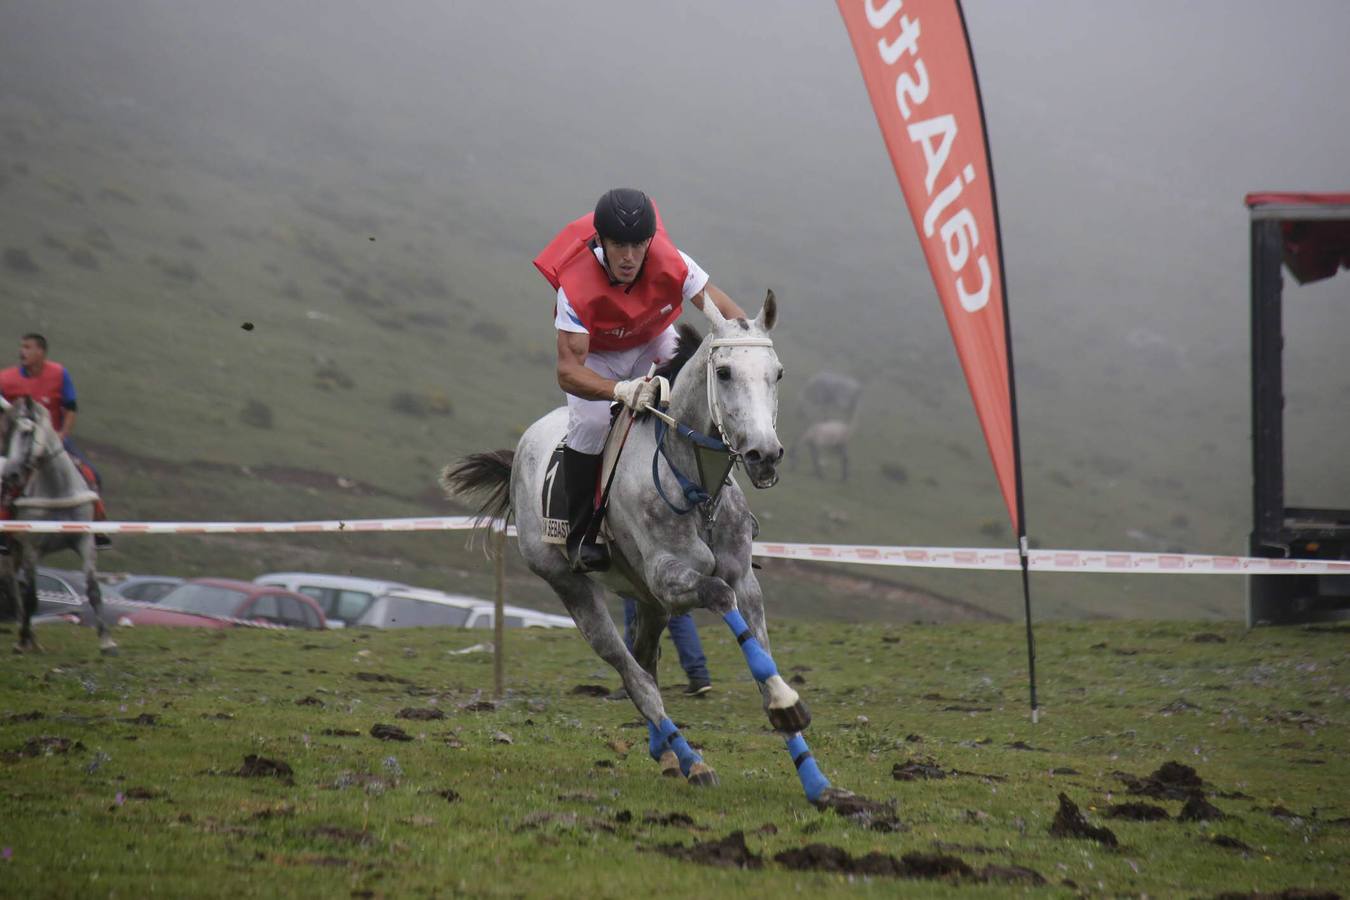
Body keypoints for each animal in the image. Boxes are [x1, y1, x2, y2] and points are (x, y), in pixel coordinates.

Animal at [1, 394, 116, 655]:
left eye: (27, 431)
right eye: (8, 431)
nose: (10, 474)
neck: (57, 489)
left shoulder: (85, 541)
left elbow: (93, 589)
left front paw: (106, 641)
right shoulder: (32, 548)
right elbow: (31, 595)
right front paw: (22, 640)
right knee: (14, 587)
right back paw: (26, 636)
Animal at [442, 294, 842, 804]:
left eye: (778, 373)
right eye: (724, 372)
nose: (764, 455)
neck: (695, 485)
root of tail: (523, 451)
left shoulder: (741, 580)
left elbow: (759, 653)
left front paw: (815, 778)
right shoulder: (670, 578)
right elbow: (718, 594)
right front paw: (787, 704)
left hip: (649, 603)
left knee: (645, 661)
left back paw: (668, 753)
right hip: (575, 588)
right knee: (634, 676)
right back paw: (692, 761)